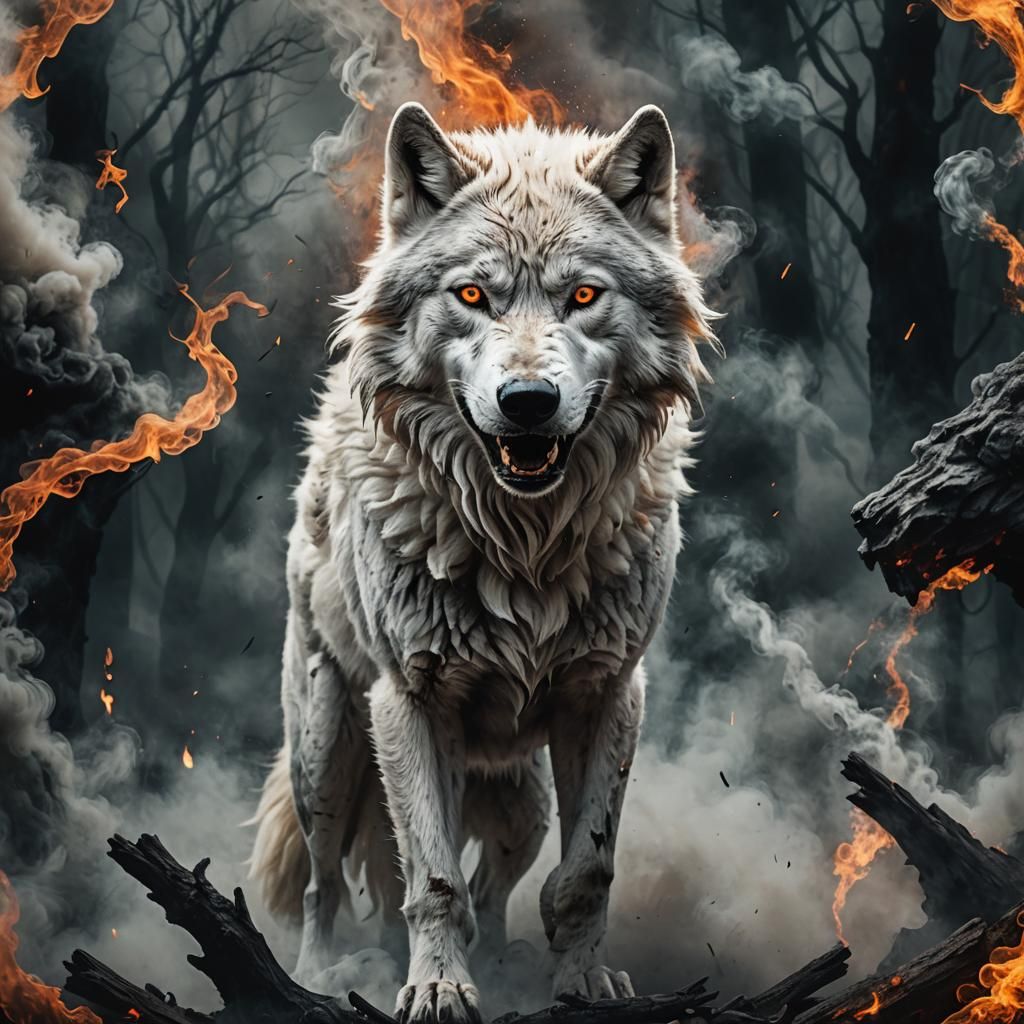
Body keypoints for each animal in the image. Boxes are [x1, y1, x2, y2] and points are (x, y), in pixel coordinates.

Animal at [250, 100, 717, 1023]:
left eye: (583, 296)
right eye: (472, 295)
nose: (528, 402)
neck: (524, 541)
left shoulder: (610, 693)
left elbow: (585, 871)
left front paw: (583, 982)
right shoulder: (409, 702)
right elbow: (431, 880)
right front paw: (435, 988)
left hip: (520, 797)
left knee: (497, 884)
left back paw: (501, 964)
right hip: (327, 749)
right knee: (328, 880)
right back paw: (321, 973)